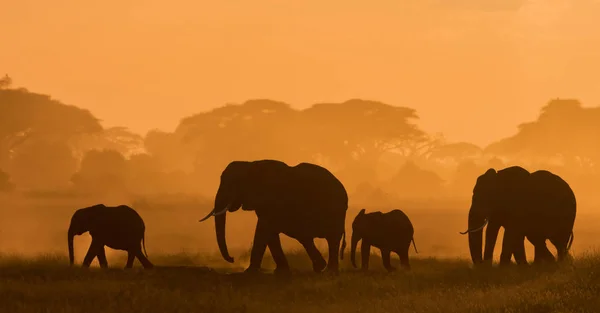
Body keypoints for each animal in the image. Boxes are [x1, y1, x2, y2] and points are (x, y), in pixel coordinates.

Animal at [199, 160, 346, 274]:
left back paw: (329, 271)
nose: (232, 258)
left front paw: (249, 272)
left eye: (233, 183)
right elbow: (270, 233)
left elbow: (264, 229)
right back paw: (320, 268)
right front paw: (281, 271)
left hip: (336, 211)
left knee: (330, 239)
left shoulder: (272, 198)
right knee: (306, 237)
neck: (250, 164)